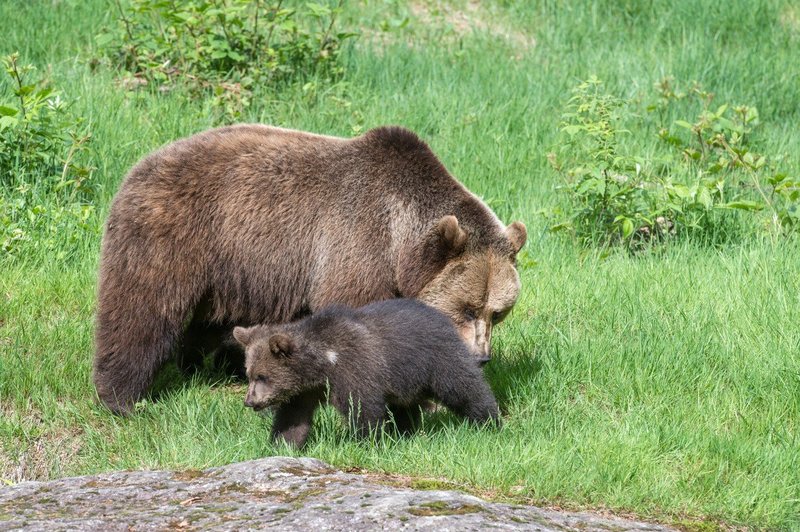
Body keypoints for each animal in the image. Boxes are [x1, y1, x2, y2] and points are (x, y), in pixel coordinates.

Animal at [94, 122, 528, 414]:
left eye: (498, 312)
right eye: (467, 308)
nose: (482, 357)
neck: (399, 241)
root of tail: (143, 163)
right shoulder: (356, 245)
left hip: (233, 269)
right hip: (174, 236)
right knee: (141, 311)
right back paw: (120, 397)